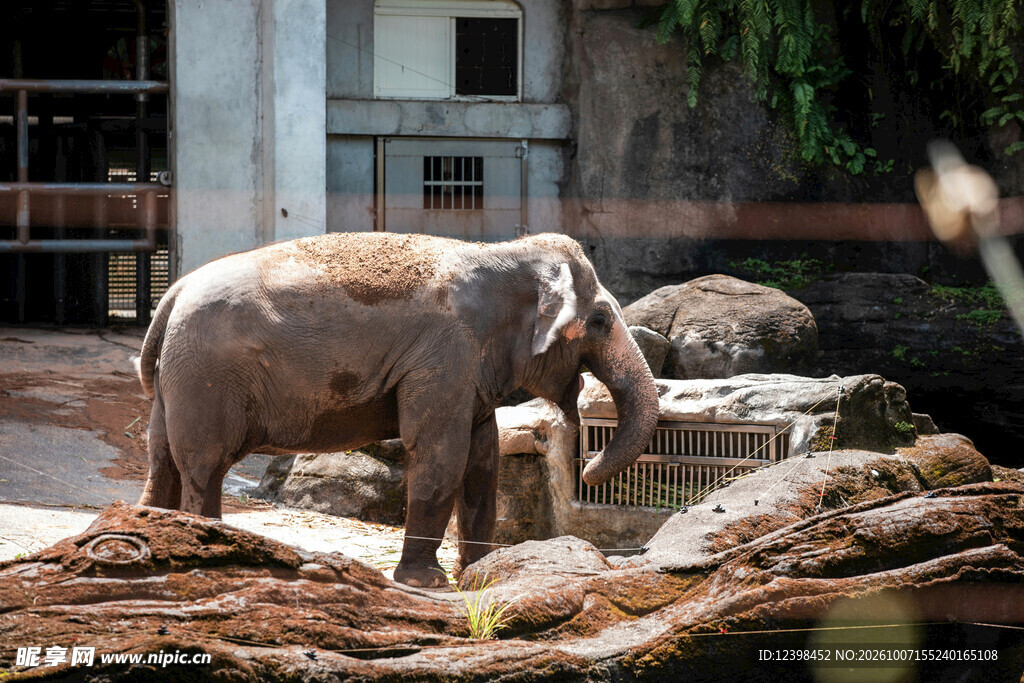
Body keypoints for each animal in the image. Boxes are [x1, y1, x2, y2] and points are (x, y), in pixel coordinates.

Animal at [134, 232, 659, 587]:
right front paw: (428, 583)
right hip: (206, 377)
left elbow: (483, 460)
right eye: (600, 320)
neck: (502, 252)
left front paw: (479, 573)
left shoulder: (466, 369)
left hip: (176, 378)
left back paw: (153, 536)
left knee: (163, 458)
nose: (587, 466)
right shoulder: (443, 355)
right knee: (203, 464)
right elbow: (441, 453)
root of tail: (173, 293)